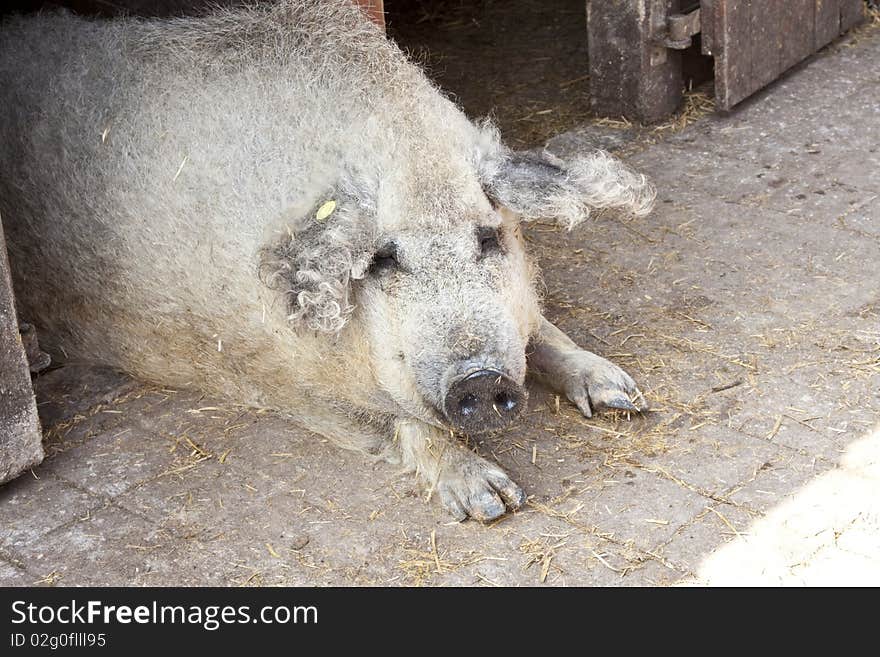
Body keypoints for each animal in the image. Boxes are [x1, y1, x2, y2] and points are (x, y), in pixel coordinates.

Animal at [0, 1, 652, 524]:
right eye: (383, 259)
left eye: (489, 237)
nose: (481, 379)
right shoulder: (277, 377)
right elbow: (403, 422)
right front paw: (493, 502)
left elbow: (539, 330)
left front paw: (625, 396)